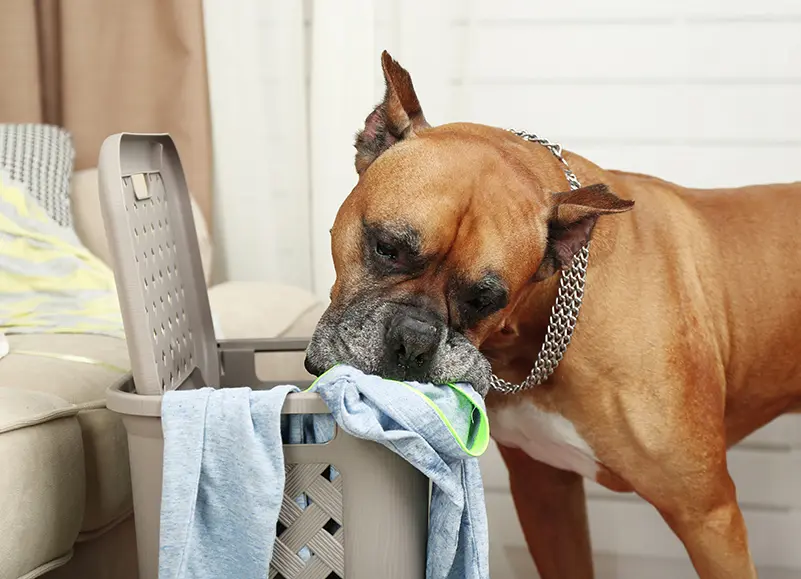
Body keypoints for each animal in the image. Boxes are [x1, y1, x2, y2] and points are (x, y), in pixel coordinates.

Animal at [302, 52, 800, 576]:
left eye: (486, 299)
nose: (414, 341)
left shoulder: (709, 516)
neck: (535, 333)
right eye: (386, 248)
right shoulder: (545, 492)